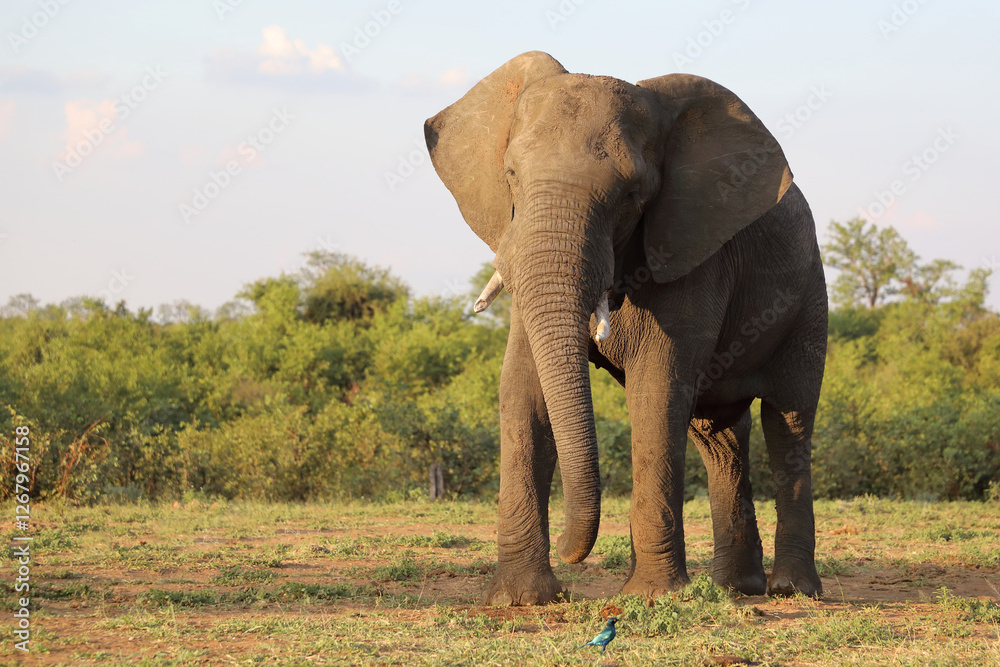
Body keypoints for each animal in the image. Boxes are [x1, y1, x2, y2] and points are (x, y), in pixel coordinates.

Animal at [424, 52, 827, 605]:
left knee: (788, 423)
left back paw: (791, 589)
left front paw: (652, 597)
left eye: (633, 194)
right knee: (719, 436)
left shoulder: (689, 249)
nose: (572, 553)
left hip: (809, 294)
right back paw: (733, 589)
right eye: (510, 175)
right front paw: (520, 600)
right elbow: (524, 391)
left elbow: (656, 389)